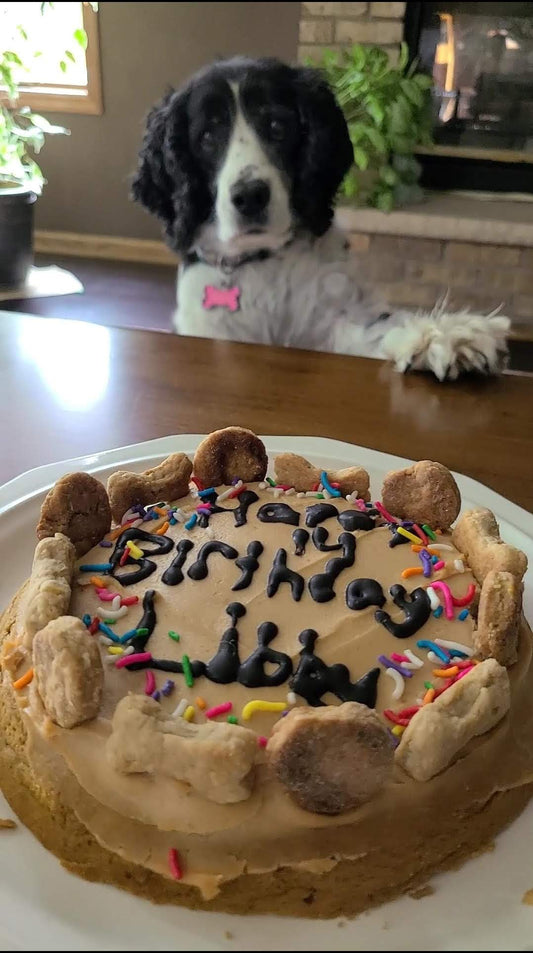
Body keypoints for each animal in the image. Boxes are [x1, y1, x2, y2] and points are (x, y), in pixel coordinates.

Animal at [132, 56, 508, 380]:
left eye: (277, 126)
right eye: (207, 138)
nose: (250, 197)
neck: (265, 265)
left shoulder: (335, 321)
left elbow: (376, 329)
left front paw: (446, 336)